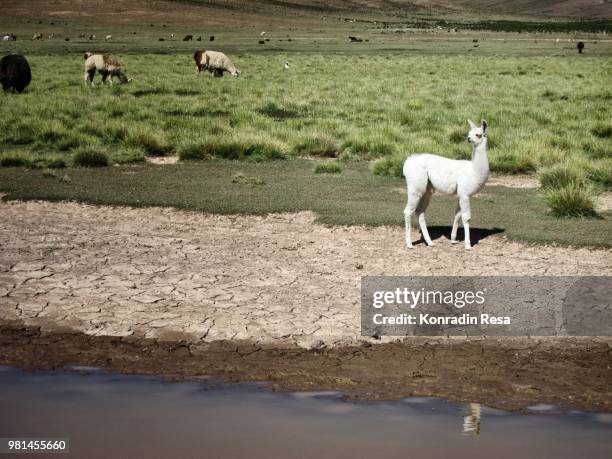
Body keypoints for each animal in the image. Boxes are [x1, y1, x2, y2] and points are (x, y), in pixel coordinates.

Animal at [404, 120, 490, 252]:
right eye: (469, 133)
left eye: (478, 134)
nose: (468, 139)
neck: (474, 171)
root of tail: (407, 162)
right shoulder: (465, 194)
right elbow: (466, 218)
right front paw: (468, 245)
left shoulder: (461, 194)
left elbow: (457, 215)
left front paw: (453, 239)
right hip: (415, 186)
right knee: (408, 211)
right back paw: (409, 244)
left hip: (427, 190)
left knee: (420, 212)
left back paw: (430, 242)